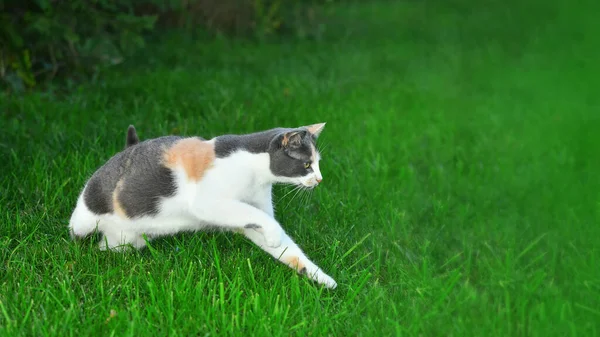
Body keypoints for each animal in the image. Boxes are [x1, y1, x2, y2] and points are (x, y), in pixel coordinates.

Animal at [67, 122, 338, 288]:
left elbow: (288, 250)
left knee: (109, 247)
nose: (320, 179)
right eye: (306, 165)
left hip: (125, 242)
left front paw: (321, 277)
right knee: (77, 232)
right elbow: (262, 219)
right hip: (84, 216)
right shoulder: (208, 202)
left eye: (318, 164)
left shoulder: (249, 215)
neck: (257, 174)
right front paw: (273, 236)